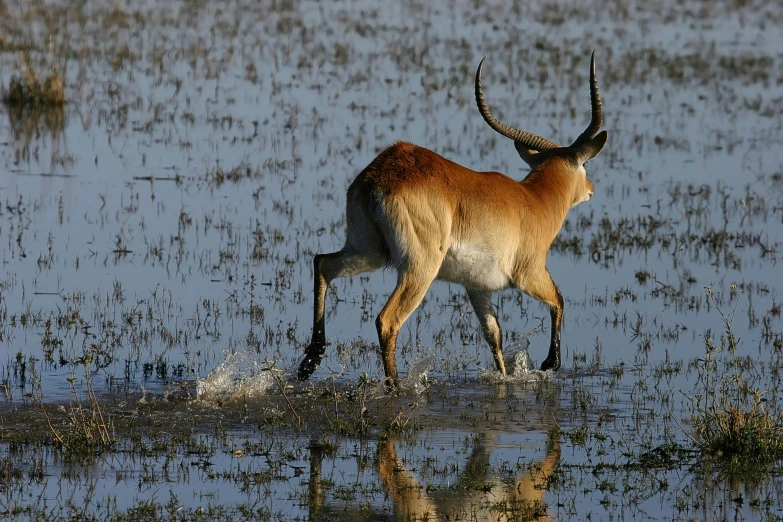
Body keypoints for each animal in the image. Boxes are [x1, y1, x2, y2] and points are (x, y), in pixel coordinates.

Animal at [298, 50, 608, 384]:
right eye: (584, 165)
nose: (591, 188)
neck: (534, 201)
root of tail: (377, 177)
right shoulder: (530, 273)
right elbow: (559, 299)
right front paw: (551, 363)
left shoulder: (477, 286)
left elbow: (494, 336)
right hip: (419, 267)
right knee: (387, 320)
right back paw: (394, 386)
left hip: (369, 251)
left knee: (323, 263)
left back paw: (309, 363)